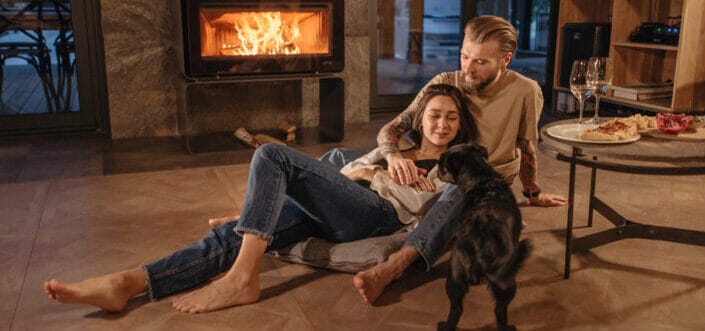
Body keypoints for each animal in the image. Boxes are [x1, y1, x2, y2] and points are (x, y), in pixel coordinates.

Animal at [434, 143, 528, 331]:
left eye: (442, 164)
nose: (436, 170)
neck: (481, 178)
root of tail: (478, 247)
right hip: (506, 281)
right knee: (500, 311)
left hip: (454, 277)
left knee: (456, 309)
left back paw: (446, 326)